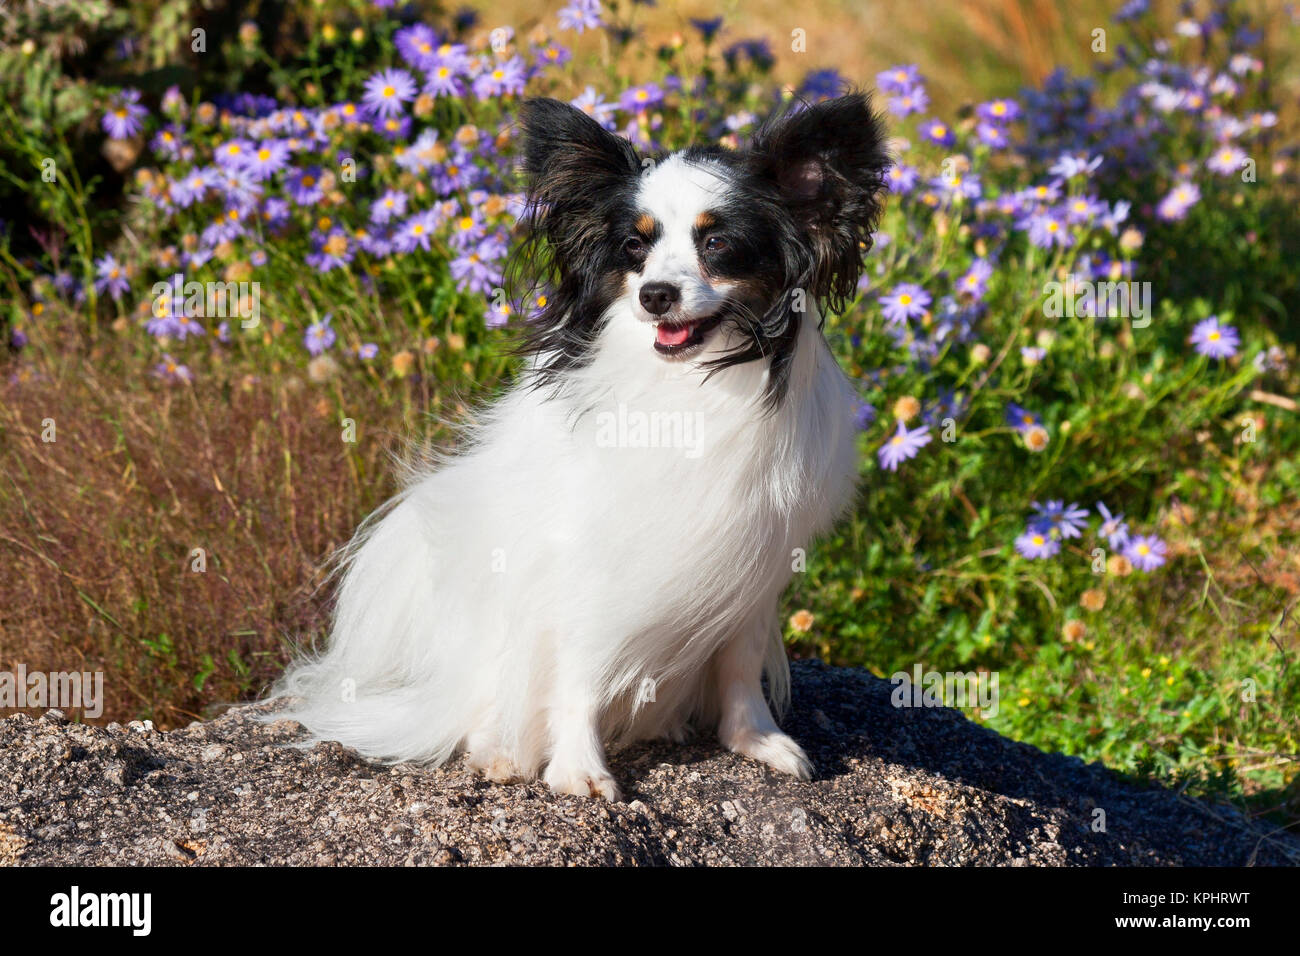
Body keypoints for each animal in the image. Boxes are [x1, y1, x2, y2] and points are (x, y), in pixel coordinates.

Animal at [269, 91, 889, 801]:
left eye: (718, 244)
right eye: (634, 247)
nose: (655, 295)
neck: (688, 389)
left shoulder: (752, 569)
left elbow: (740, 665)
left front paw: (755, 741)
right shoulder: (587, 571)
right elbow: (580, 674)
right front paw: (578, 769)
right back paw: (499, 752)